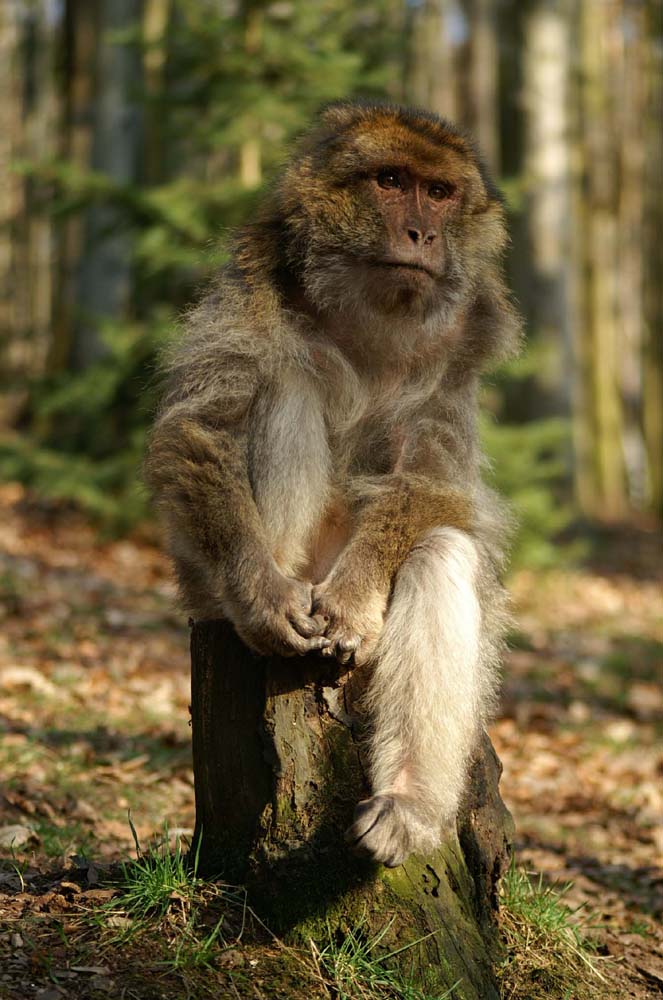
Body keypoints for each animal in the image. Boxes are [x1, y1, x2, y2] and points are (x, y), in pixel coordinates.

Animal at [147, 99, 524, 868]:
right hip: (224, 579)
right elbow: (202, 428)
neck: (371, 310)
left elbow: (432, 485)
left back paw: (407, 802)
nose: (422, 232)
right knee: (285, 383)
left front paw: (353, 598)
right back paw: (270, 603)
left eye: (440, 192)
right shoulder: (250, 286)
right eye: (391, 180)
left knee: (440, 551)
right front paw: (262, 599)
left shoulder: (461, 350)